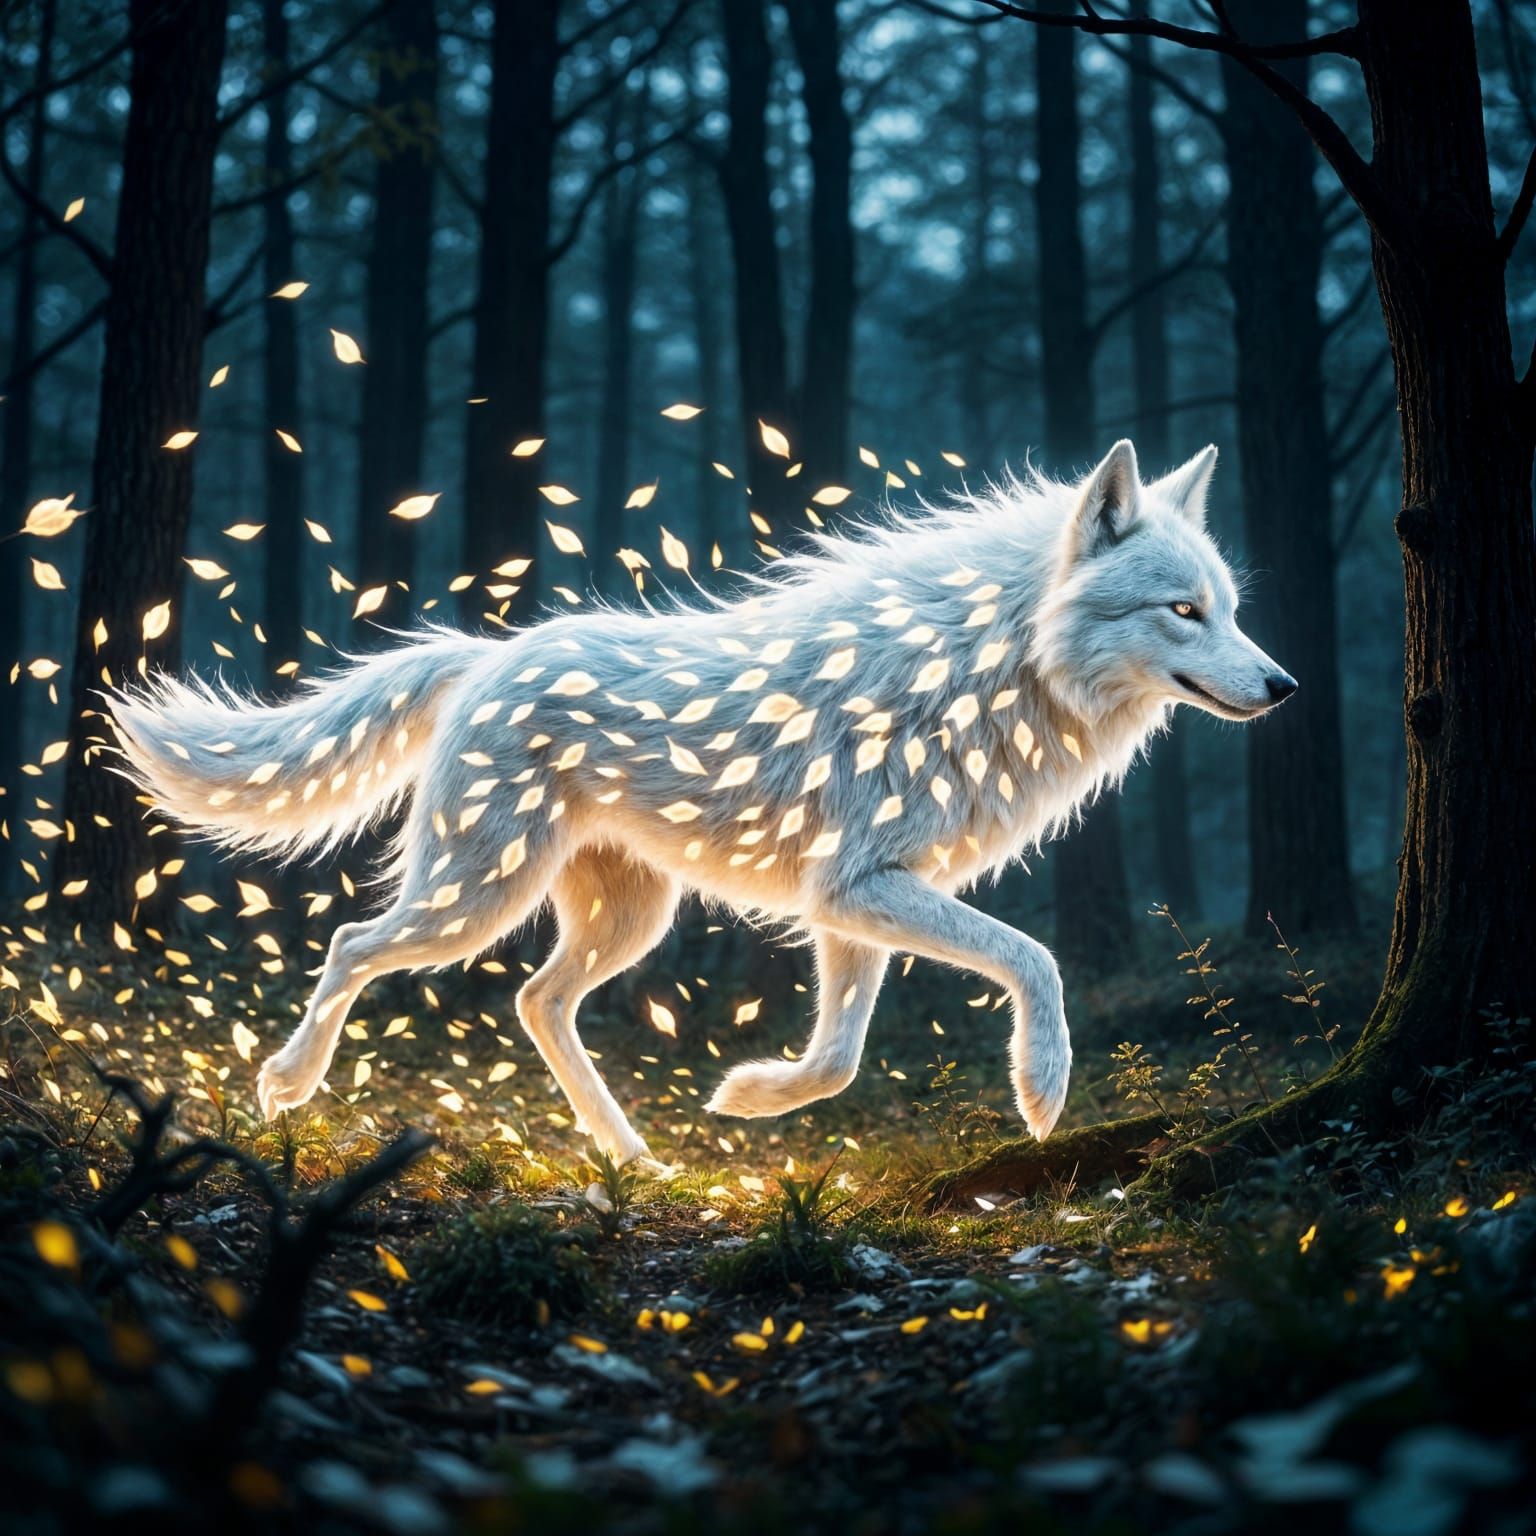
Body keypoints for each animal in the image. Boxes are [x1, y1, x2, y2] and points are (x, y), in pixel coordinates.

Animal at [108, 440, 1294, 1164]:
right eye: (1183, 610)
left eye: (1232, 608)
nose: (1284, 686)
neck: (987, 666)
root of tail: (485, 655)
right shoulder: (861, 890)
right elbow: (1033, 959)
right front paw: (1043, 1090)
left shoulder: (849, 904)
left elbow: (840, 1055)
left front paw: (750, 1096)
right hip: (477, 898)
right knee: (357, 944)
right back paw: (287, 1082)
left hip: (627, 919)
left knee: (535, 1001)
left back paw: (630, 1155)